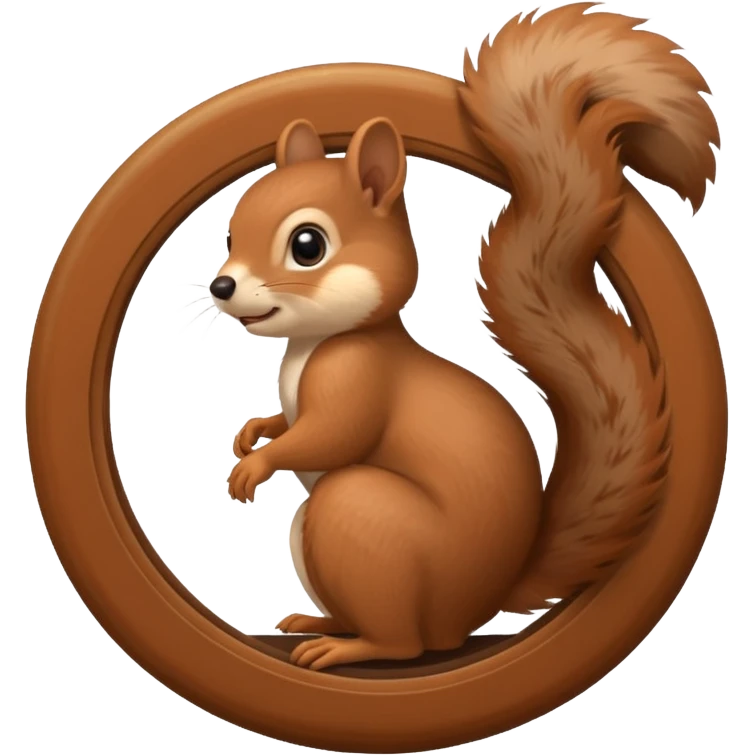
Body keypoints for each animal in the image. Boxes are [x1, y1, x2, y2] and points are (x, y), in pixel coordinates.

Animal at [210, 2, 719, 671]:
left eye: (307, 245)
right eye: (231, 229)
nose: (221, 286)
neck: (317, 343)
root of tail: (475, 608)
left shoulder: (359, 375)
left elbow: (331, 434)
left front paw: (258, 463)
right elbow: (289, 423)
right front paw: (254, 432)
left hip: (359, 517)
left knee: (403, 641)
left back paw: (347, 648)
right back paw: (315, 623)